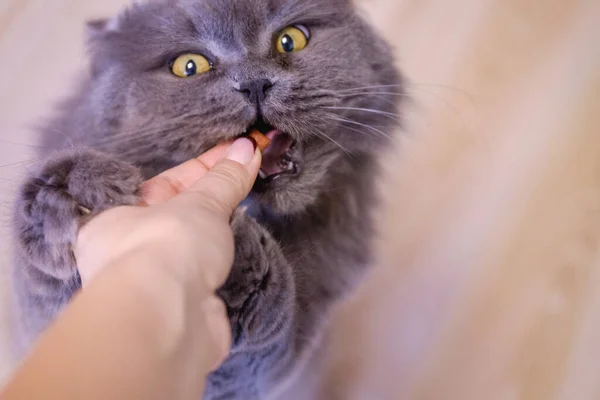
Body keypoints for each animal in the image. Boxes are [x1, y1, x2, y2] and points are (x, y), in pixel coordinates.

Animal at [10, 0, 404, 396]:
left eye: (290, 40)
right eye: (189, 66)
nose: (255, 82)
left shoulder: (284, 362)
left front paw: (240, 264)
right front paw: (73, 190)